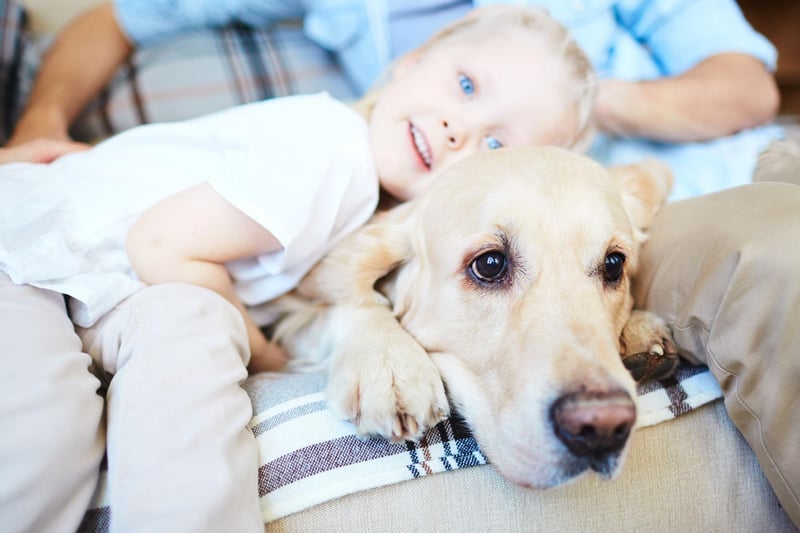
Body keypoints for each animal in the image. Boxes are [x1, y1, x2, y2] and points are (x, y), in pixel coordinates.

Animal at [272, 144, 680, 486]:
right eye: (489, 264)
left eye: (614, 264)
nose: (602, 426)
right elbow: (350, 301)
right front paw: (386, 363)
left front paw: (641, 331)